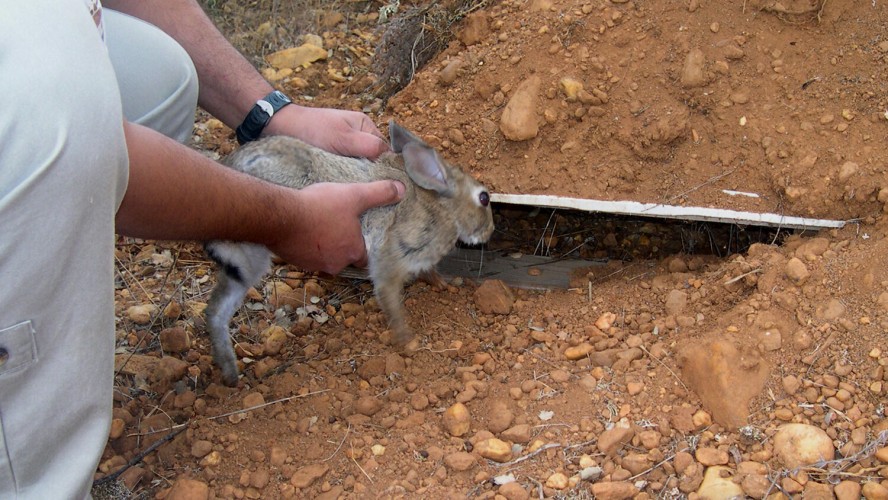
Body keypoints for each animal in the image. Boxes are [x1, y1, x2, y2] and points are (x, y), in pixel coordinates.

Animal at [203, 120, 495, 386]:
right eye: (484, 198)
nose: (490, 231)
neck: (443, 207)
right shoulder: (390, 259)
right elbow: (389, 296)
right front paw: (406, 339)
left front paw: (446, 284)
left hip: (248, 259)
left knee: (216, 309)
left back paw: (230, 373)